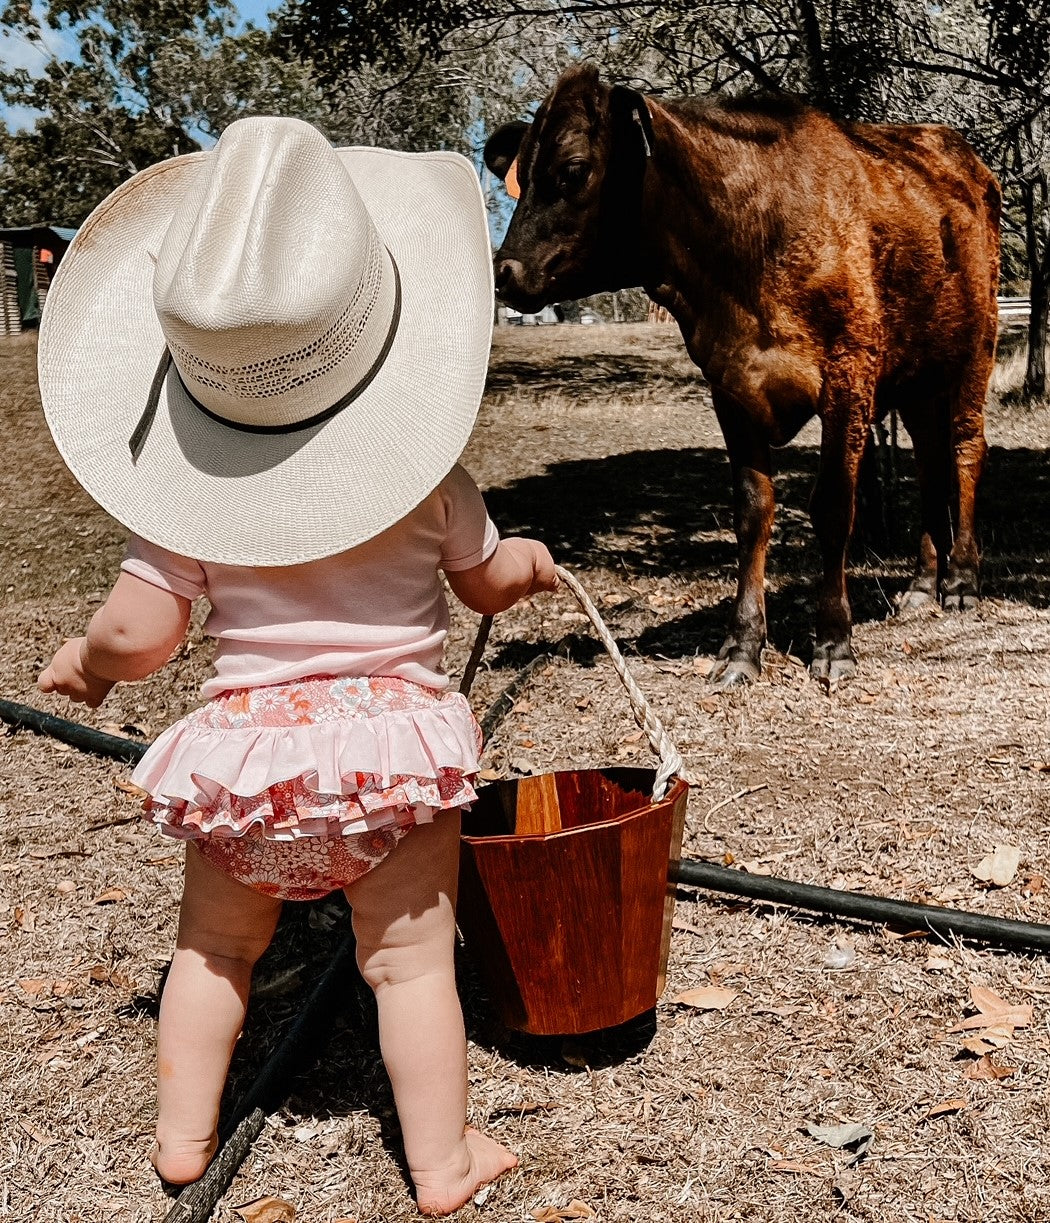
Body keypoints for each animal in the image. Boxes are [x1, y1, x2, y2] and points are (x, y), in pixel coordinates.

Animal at [484, 64, 1002, 689]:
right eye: (518, 177)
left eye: (573, 169)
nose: (505, 271)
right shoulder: (730, 387)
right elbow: (753, 513)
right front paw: (742, 646)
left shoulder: (848, 379)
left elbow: (833, 507)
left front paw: (833, 641)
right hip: (917, 379)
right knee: (929, 462)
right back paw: (923, 585)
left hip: (975, 349)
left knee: (966, 451)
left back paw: (962, 581)